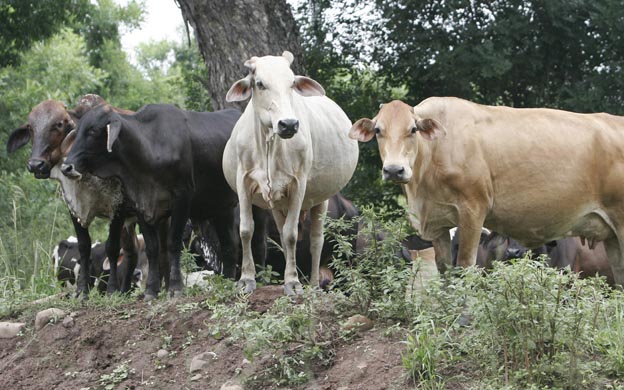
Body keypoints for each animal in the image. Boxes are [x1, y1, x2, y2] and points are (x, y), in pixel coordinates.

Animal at [62, 103, 266, 298]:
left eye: (93, 131)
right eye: (77, 131)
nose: (66, 167)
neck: (149, 146)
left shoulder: (182, 198)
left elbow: (172, 243)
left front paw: (175, 288)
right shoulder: (142, 205)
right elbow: (153, 249)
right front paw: (151, 291)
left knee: (258, 241)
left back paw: (261, 279)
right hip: (221, 207)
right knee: (229, 245)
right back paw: (227, 281)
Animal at [222, 52, 358, 296]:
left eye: (292, 83)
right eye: (260, 83)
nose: (288, 124)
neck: (269, 143)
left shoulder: (298, 185)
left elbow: (292, 234)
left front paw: (293, 282)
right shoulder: (243, 182)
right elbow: (246, 230)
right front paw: (246, 279)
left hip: (321, 199)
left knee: (315, 240)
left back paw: (313, 284)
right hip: (278, 205)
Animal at [352, 98, 624, 286]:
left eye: (413, 129)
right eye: (378, 130)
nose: (394, 170)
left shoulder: (473, 209)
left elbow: (464, 265)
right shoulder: (438, 221)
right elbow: (444, 268)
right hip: (611, 234)